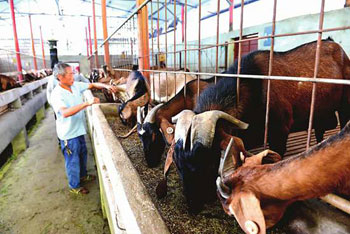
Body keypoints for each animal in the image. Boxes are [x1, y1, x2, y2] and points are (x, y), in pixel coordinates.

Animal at [172, 38, 350, 212]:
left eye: (207, 164)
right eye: (178, 165)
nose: (193, 206)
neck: (252, 87)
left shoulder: (280, 130)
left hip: (343, 107)